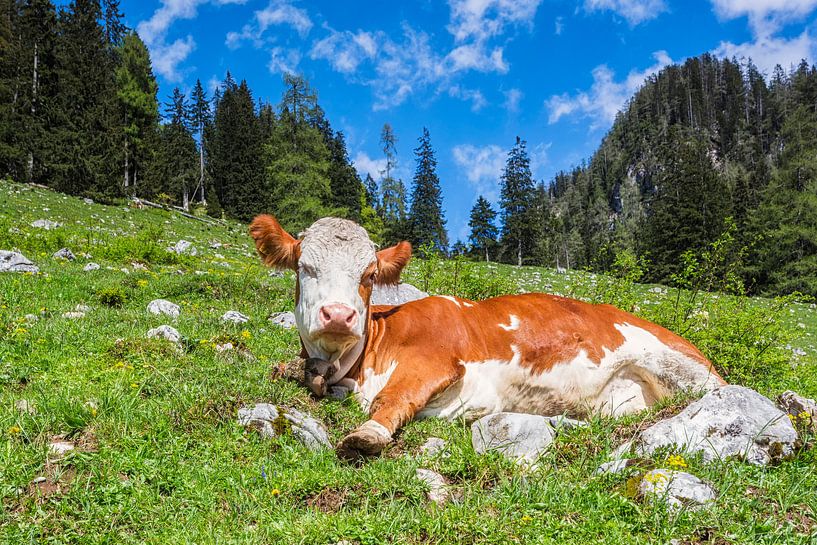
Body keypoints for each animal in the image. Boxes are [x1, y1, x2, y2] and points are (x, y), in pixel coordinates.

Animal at [247, 214, 720, 460]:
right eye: (304, 267)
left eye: (368, 276)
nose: (339, 315)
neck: (358, 366)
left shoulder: (436, 360)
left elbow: (393, 398)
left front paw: (368, 434)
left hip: (679, 368)